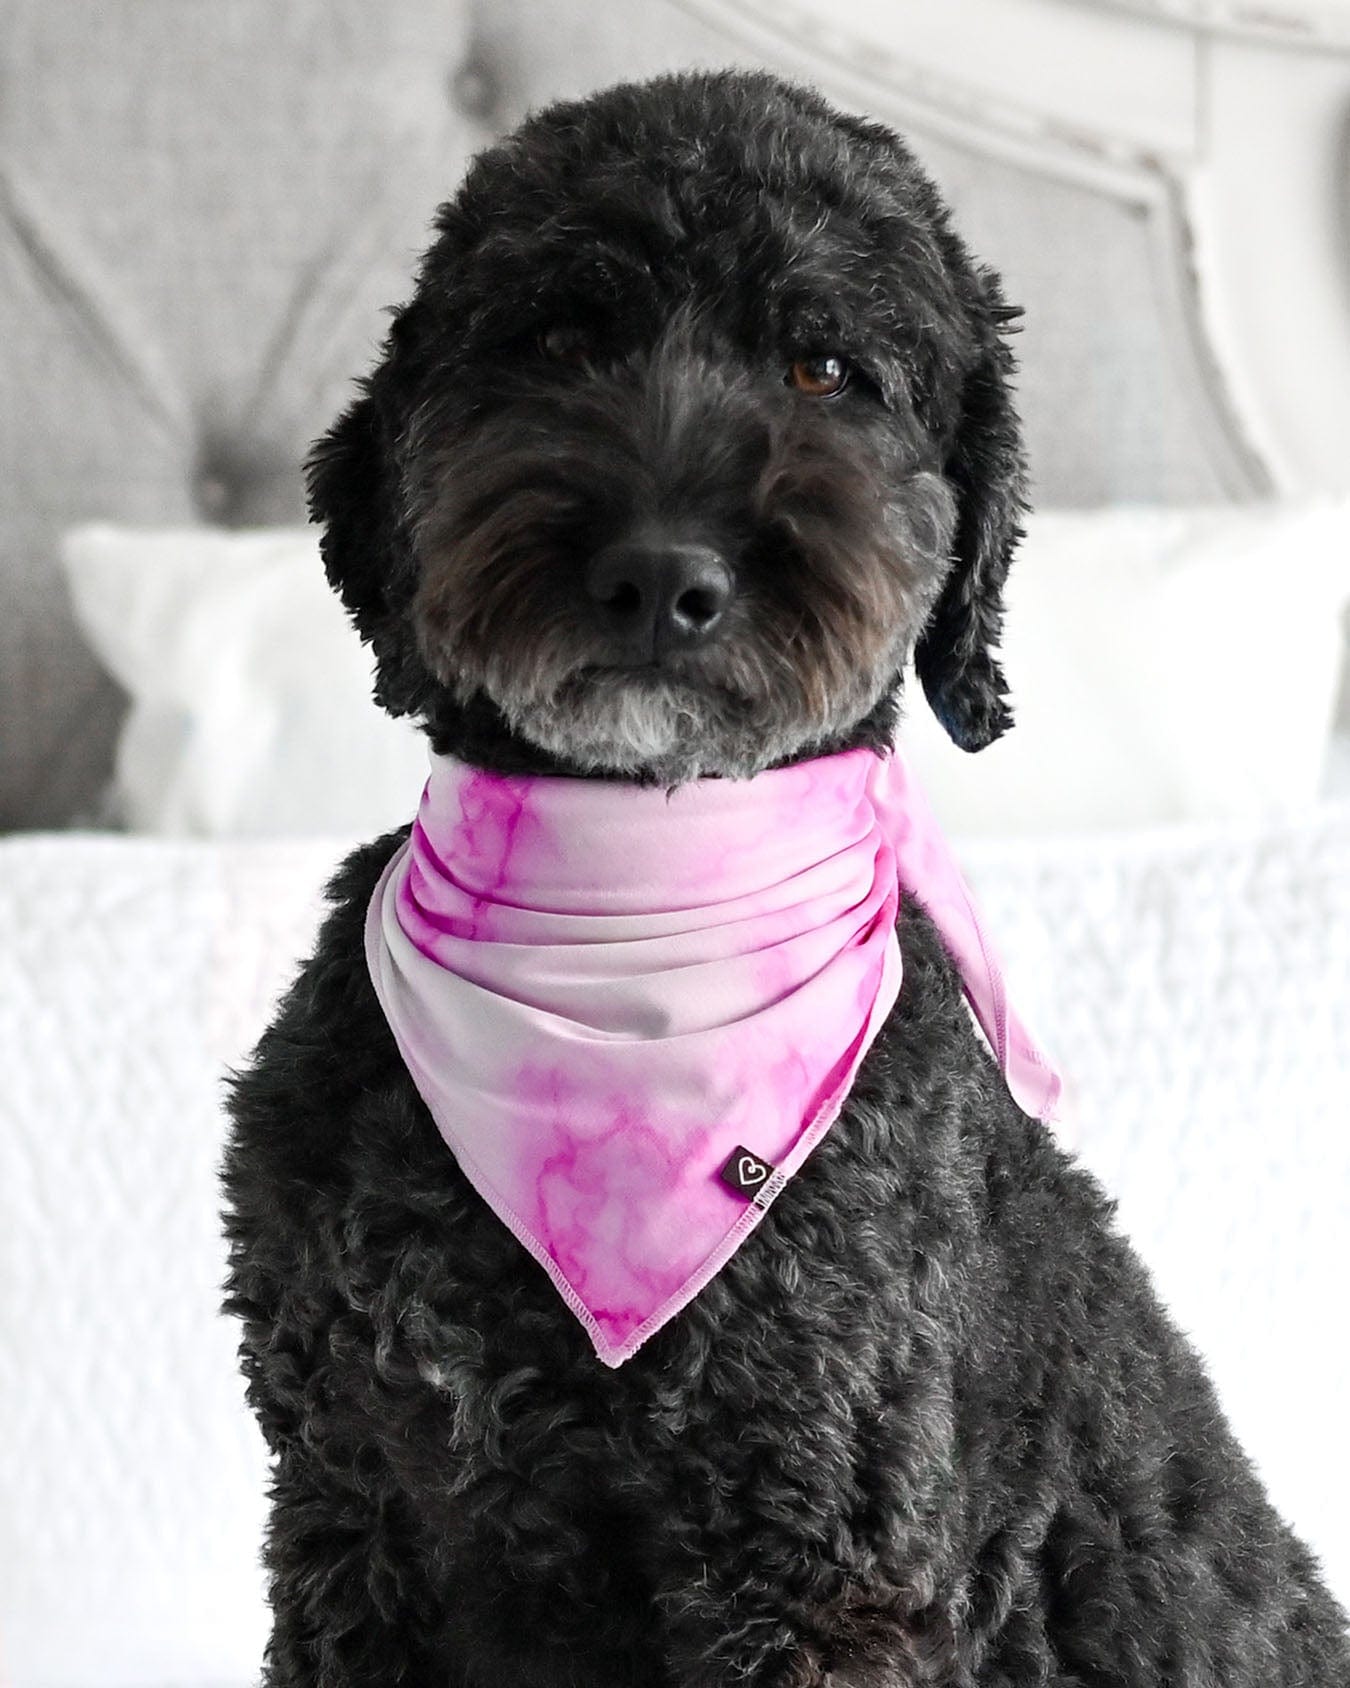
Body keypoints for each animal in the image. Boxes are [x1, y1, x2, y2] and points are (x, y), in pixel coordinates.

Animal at [216, 69, 1343, 1688]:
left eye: (827, 368)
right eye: (558, 334)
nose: (659, 575)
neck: (636, 906)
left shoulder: (816, 1544)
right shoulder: (352, 1501)